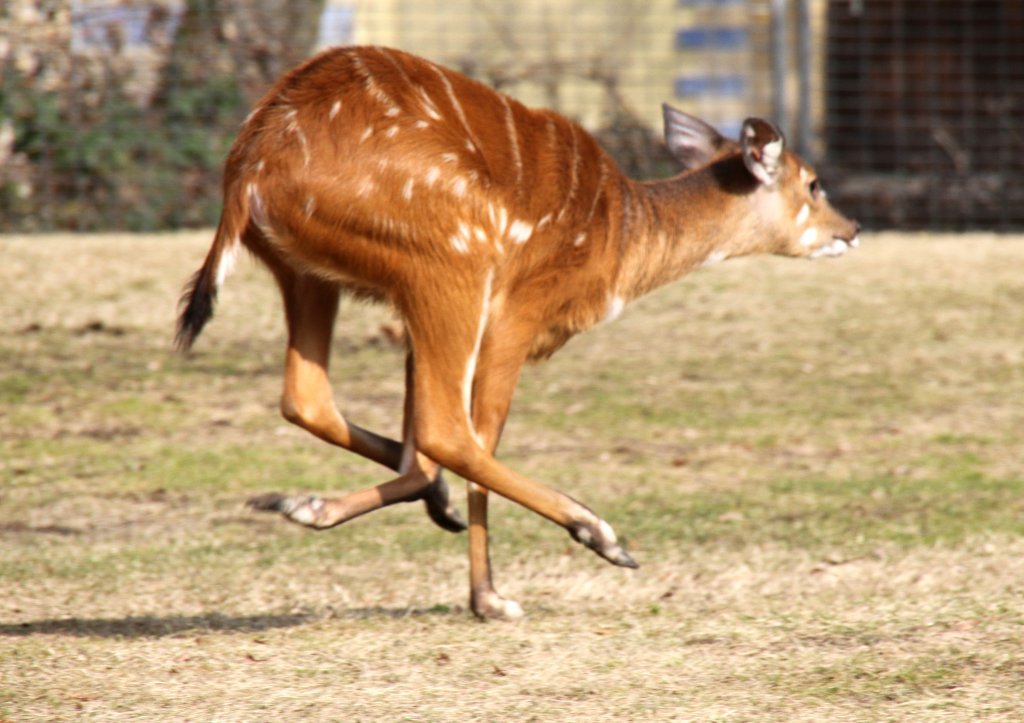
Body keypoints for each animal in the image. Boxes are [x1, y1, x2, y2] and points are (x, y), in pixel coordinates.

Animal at [174, 46, 856, 618]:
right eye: (813, 182)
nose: (850, 230)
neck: (622, 238)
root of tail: (252, 166)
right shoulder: (516, 315)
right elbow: (477, 435)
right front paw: (492, 598)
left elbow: (417, 435)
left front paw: (363, 507)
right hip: (450, 258)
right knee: (448, 430)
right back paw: (596, 533)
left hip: (312, 272)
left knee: (308, 398)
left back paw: (316, 502)